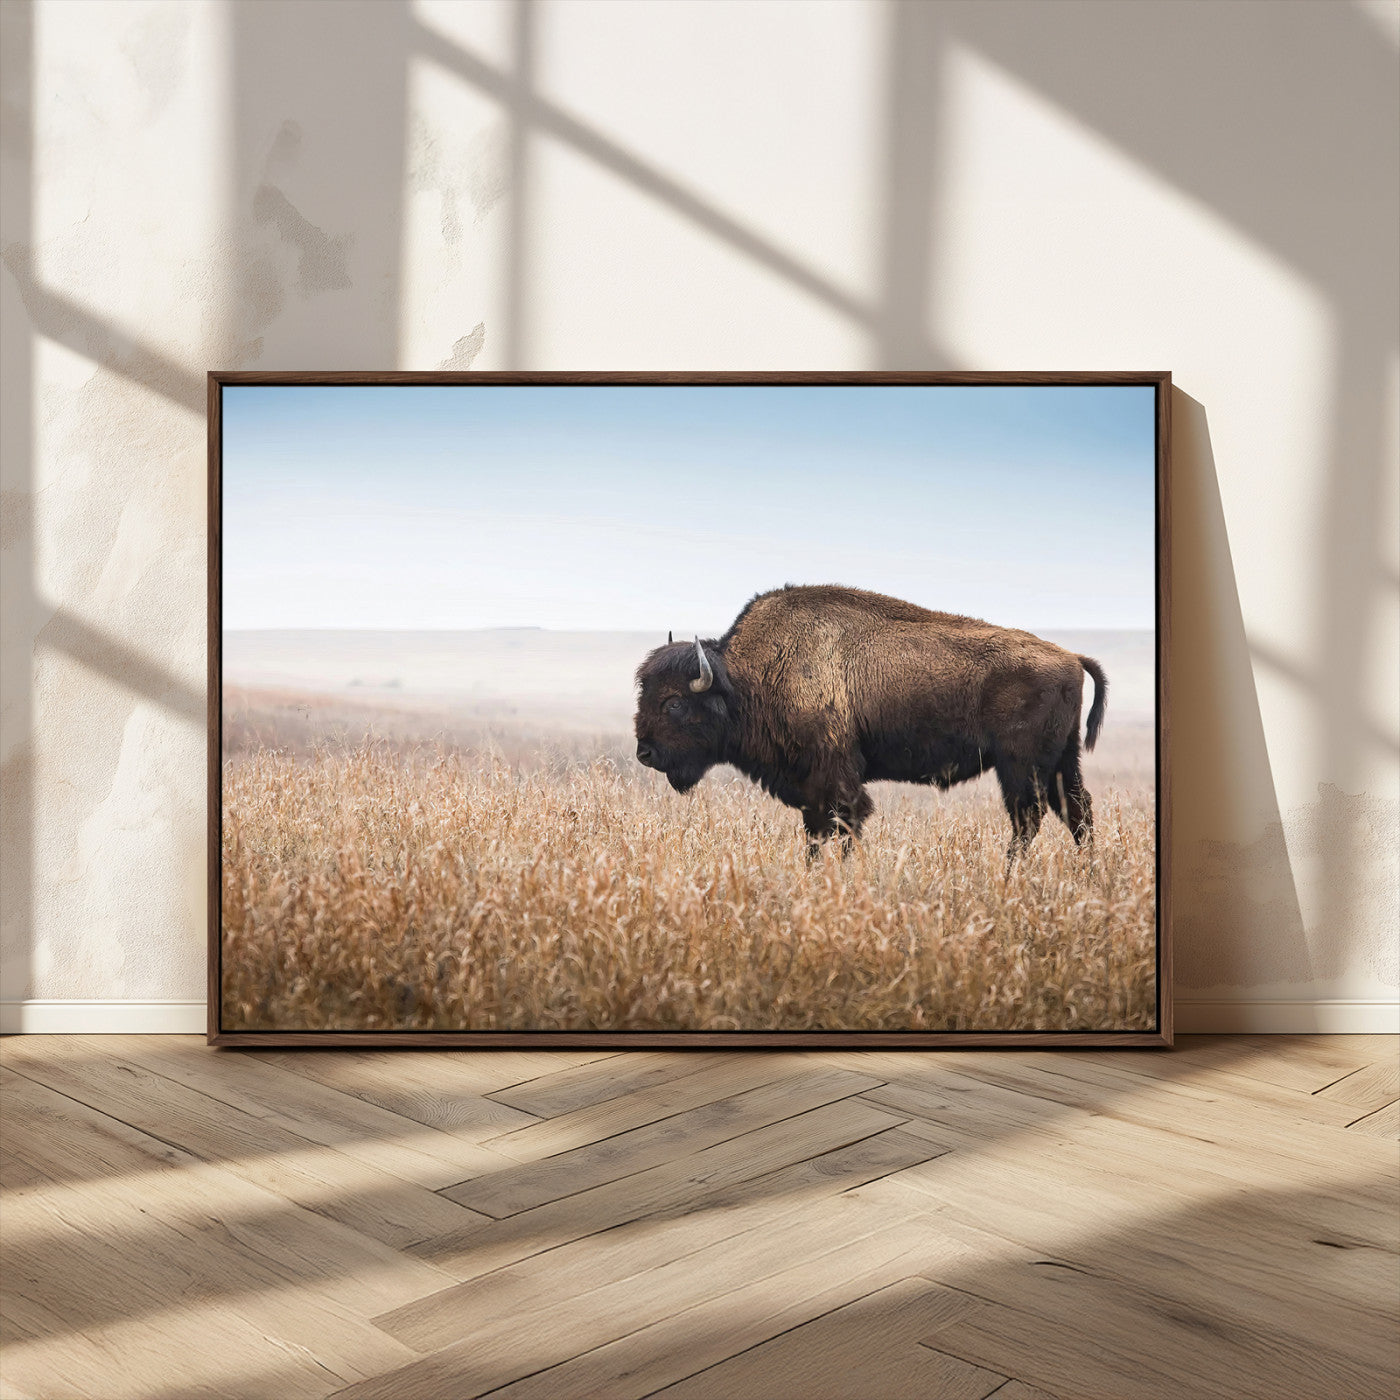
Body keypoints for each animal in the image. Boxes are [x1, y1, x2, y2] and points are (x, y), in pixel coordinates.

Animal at [634, 584, 1107, 858]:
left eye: (674, 702)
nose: (644, 753)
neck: (746, 678)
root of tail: (1071, 657)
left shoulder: (834, 779)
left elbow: (843, 825)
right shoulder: (811, 788)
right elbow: (816, 834)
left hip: (1020, 767)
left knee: (1029, 818)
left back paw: (1011, 874)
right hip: (1061, 763)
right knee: (1077, 812)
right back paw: (1087, 874)